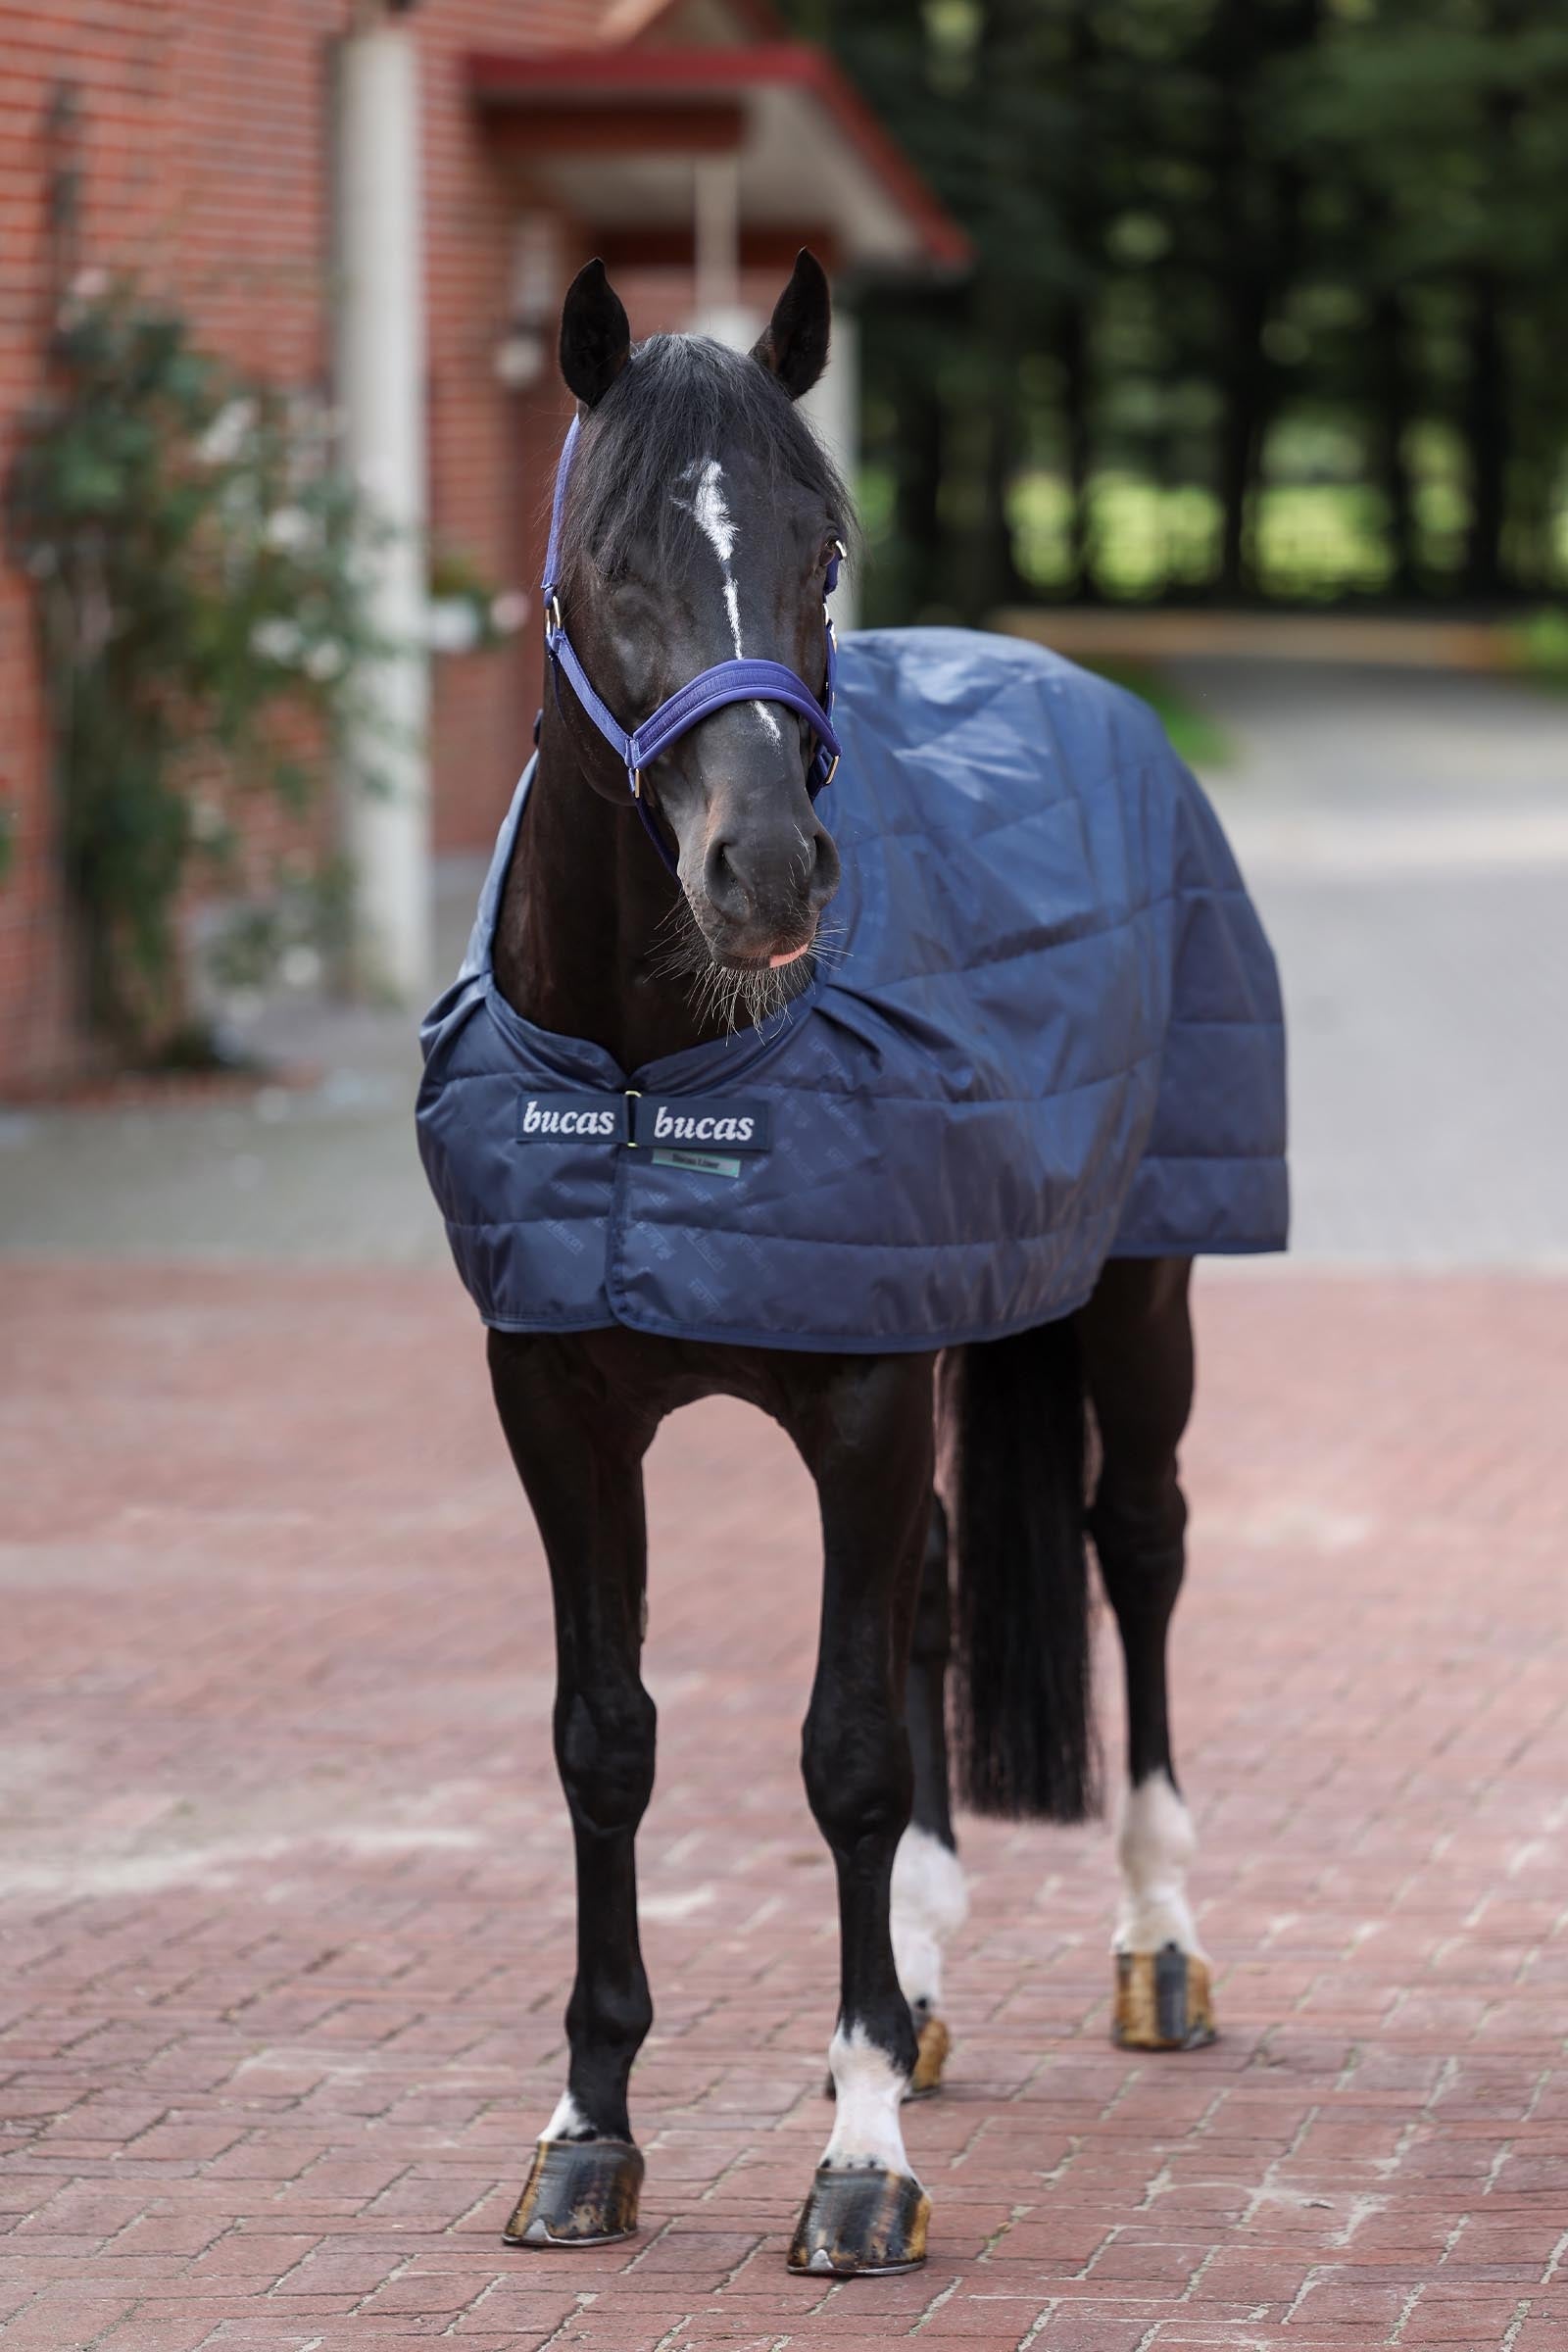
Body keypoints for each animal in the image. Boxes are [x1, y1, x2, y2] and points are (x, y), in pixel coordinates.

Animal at [416, 250, 1286, 2277]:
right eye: (609, 556)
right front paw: (590, 2128)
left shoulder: (869, 1397)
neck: (652, 1081)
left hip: (1137, 1291)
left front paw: (865, 2154)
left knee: (1138, 1549)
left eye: (823, 551)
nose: (767, 874)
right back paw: (926, 1978)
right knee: (948, 1584)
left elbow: (848, 1755)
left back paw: (1156, 1944)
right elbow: (606, 1739)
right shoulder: (558, 1406)